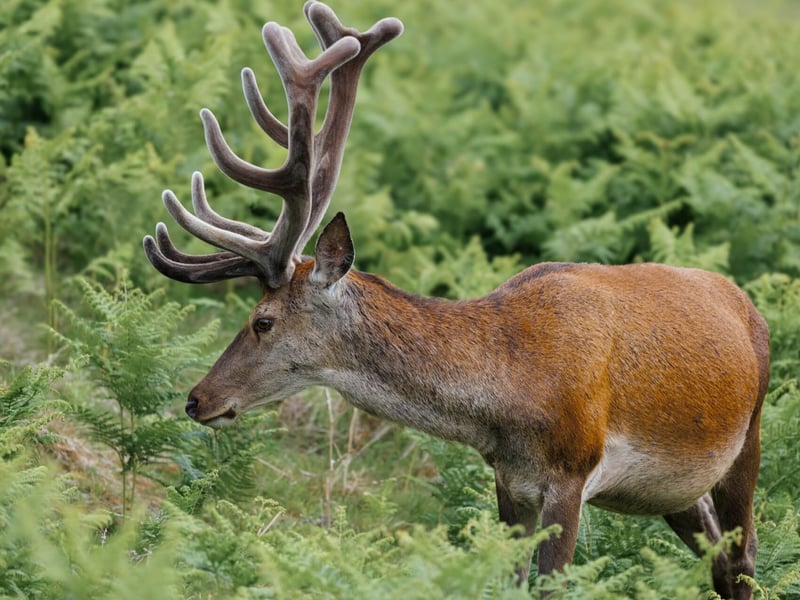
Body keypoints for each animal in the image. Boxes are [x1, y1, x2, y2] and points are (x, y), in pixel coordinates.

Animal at [142, 3, 769, 599]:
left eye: (263, 321)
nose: (197, 399)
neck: (511, 392)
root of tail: (747, 305)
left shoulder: (572, 471)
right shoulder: (510, 482)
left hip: (748, 439)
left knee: (743, 560)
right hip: (675, 490)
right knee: (720, 562)